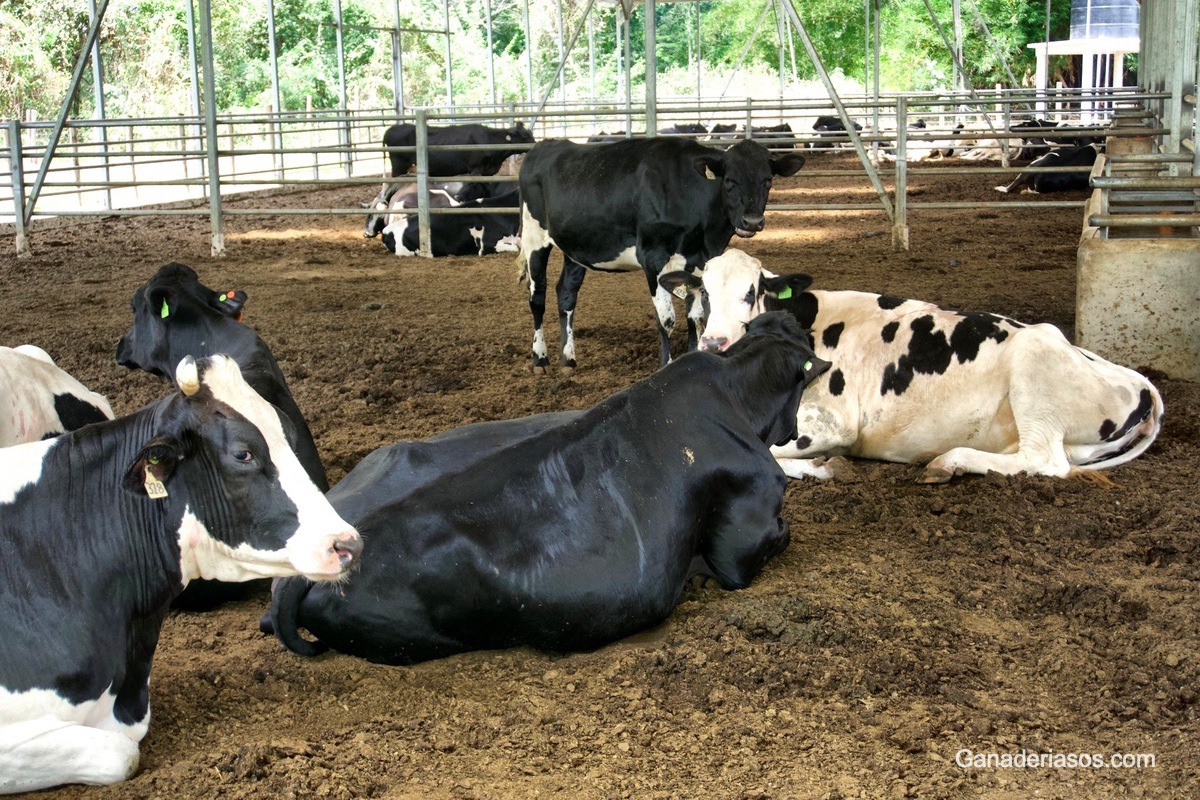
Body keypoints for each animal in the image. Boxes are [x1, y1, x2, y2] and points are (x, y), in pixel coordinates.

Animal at [516, 136, 806, 371]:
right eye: (730, 181)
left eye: (767, 181)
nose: (752, 221)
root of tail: (542, 147)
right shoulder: (652, 256)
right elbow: (667, 319)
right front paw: (666, 364)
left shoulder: (700, 260)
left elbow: (696, 316)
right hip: (534, 238)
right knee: (537, 298)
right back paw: (540, 359)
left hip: (576, 248)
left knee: (566, 294)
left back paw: (568, 359)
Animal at [662, 250, 1166, 484]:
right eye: (703, 291)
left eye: (752, 291)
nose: (715, 341)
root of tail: (1140, 382)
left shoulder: (835, 422)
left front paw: (822, 468)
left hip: (1034, 369)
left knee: (1045, 460)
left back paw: (950, 461)